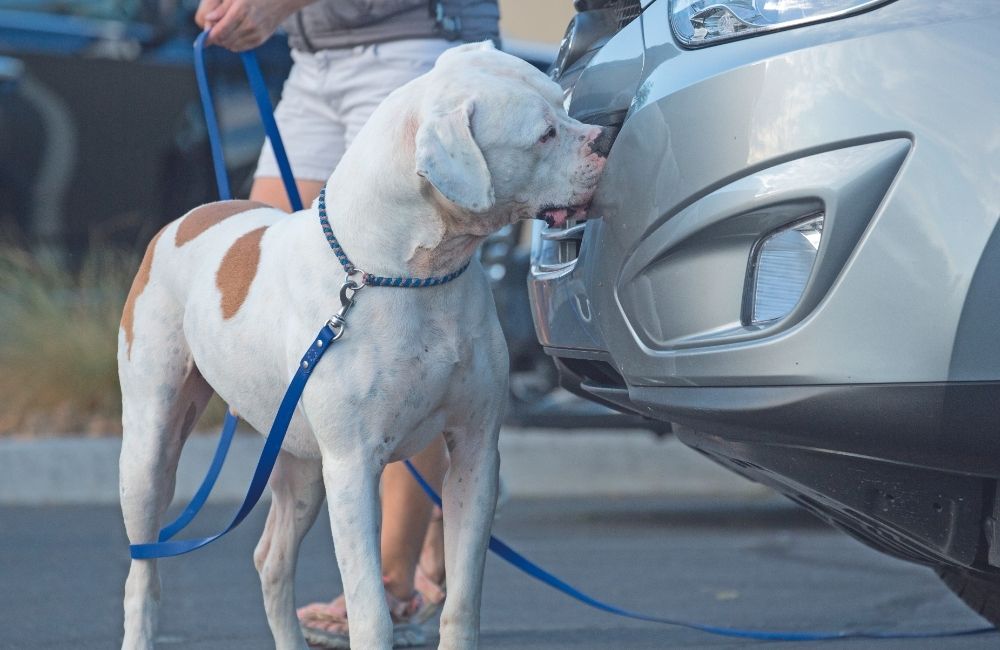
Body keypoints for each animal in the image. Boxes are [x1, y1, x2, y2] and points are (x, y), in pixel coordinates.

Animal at [118, 41, 608, 648]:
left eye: (564, 106)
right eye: (544, 134)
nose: (605, 138)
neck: (407, 274)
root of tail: (189, 217)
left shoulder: (474, 453)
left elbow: (462, 598)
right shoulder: (353, 468)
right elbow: (369, 606)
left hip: (301, 461)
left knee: (271, 560)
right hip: (150, 449)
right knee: (144, 566)